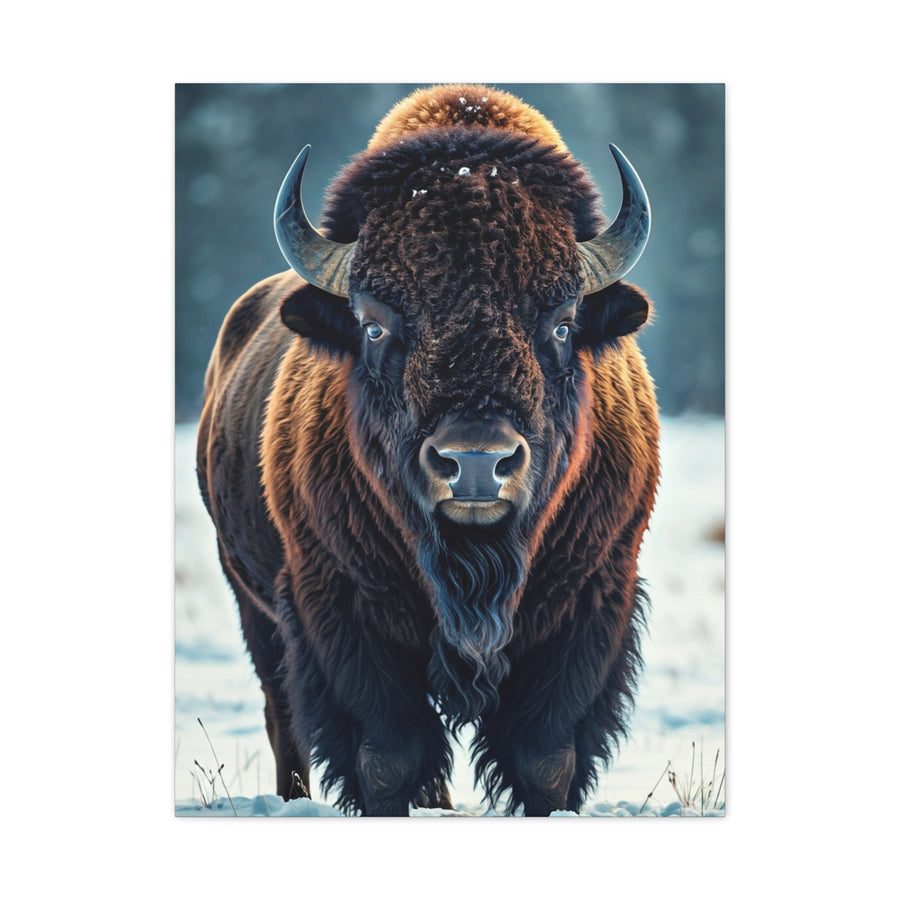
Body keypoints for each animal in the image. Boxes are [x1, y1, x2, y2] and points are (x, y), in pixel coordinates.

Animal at [196, 84, 660, 816]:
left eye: (562, 322)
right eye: (374, 324)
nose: (475, 463)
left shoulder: (591, 599)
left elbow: (545, 758)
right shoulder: (339, 606)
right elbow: (387, 756)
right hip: (252, 601)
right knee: (283, 713)